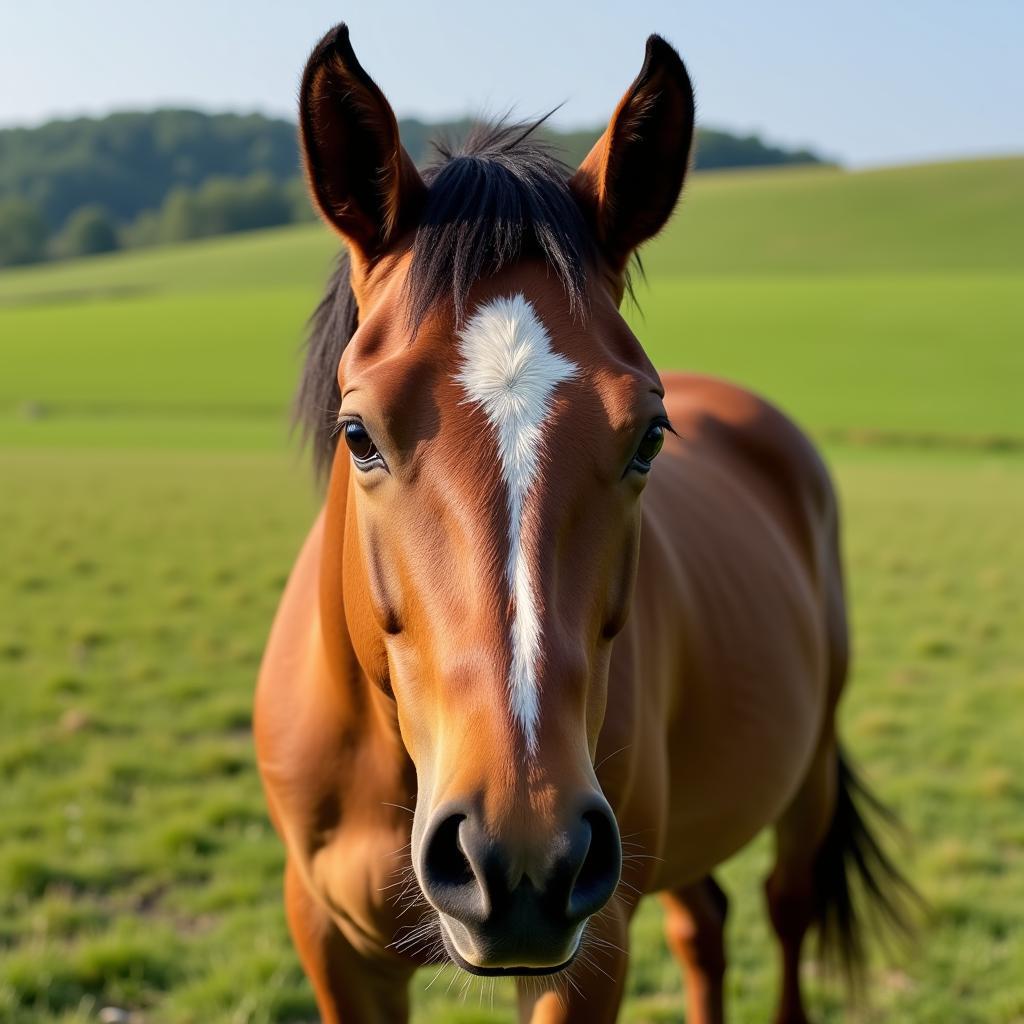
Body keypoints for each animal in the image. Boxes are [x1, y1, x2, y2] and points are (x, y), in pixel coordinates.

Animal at [253, 24, 913, 1024]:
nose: (519, 855)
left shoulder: (589, 953)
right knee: (704, 926)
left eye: (648, 436)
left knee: (783, 909)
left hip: (801, 784)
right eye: (358, 434)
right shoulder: (329, 942)